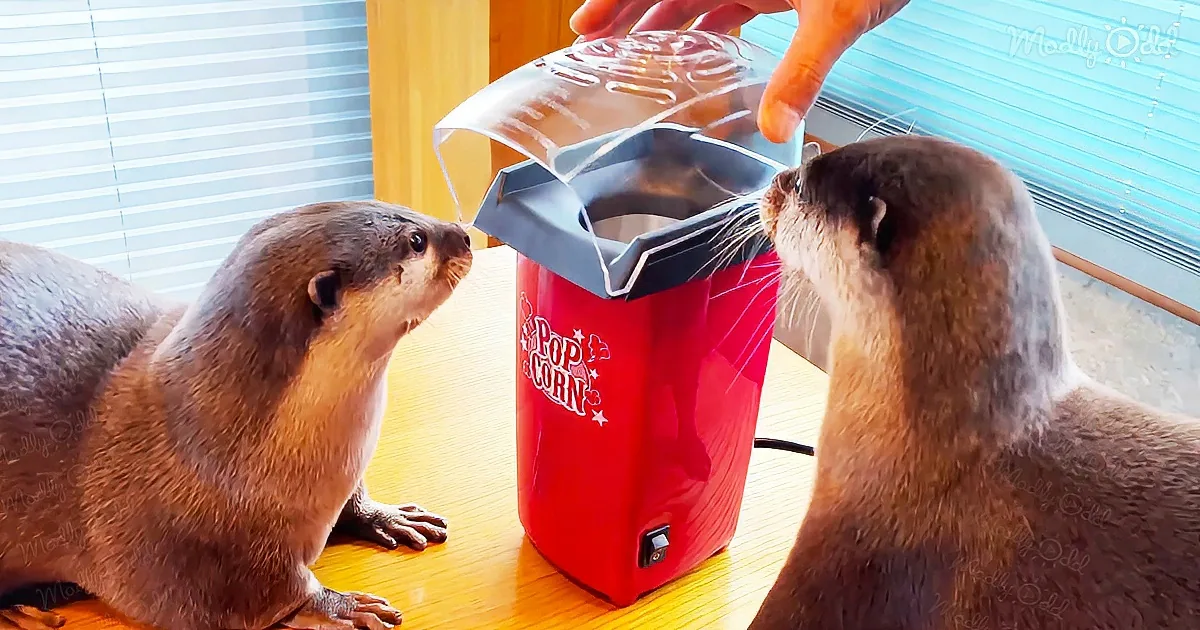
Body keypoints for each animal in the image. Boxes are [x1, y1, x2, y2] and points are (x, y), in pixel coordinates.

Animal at [0, 200, 473, 630]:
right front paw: (338, 606)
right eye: (417, 240)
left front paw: (388, 516)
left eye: (410, 211)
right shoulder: (171, 547)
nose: (465, 236)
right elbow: (249, 597)